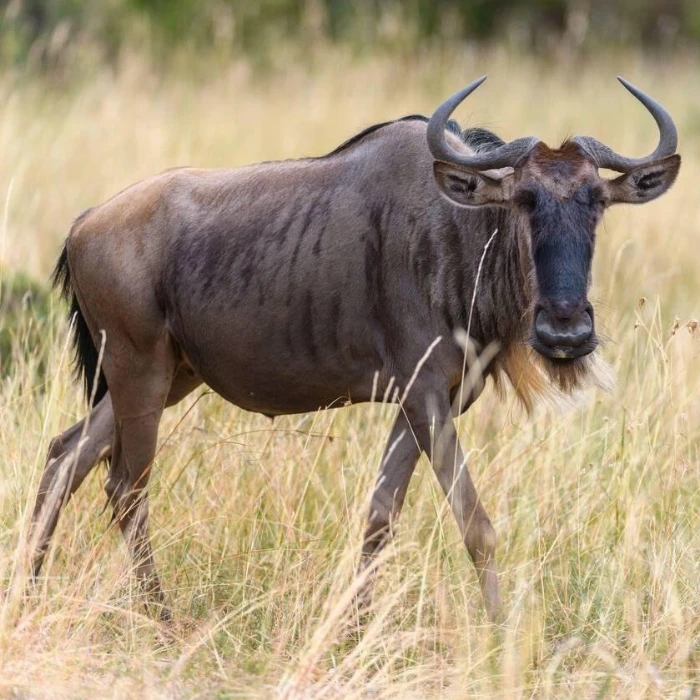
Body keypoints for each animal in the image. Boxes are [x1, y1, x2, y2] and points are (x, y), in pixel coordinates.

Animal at [29, 76, 680, 622]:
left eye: (597, 202)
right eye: (522, 200)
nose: (565, 330)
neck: (459, 230)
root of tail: (84, 224)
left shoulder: (435, 400)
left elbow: (379, 515)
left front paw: (355, 626)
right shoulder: (425, 396)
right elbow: (474, 522)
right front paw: (500, 634)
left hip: (165, 376)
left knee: (65, 458)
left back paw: (28, 592)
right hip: (138, 369)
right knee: (126, 488)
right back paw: (162, 622)